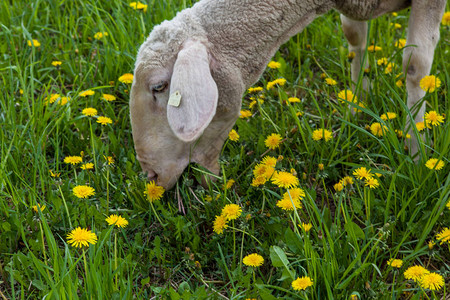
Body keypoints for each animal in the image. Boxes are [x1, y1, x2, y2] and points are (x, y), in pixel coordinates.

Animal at [130, 0, 446, 189]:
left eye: (158, 87)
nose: (151, 176)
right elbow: (354, 37)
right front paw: (357, 104)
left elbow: (416, 67)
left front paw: (418, 150)